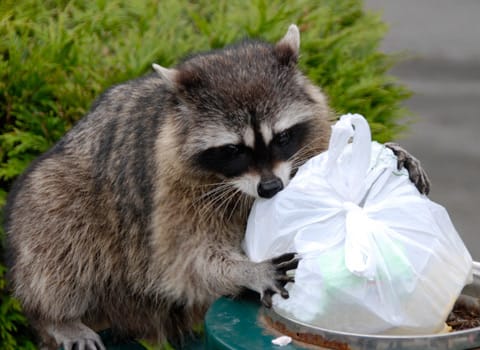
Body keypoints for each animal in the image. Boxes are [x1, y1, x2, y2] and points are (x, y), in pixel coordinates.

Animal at [4, 25, 432, 350]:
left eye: (281, 138)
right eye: (233, 150)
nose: (271, 188)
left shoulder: (307, 138)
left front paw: (387, 152)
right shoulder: (173, 189)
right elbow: (186, 259)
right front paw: (246, 269)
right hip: (59, 192)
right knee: (58, 230)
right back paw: (56, 316)